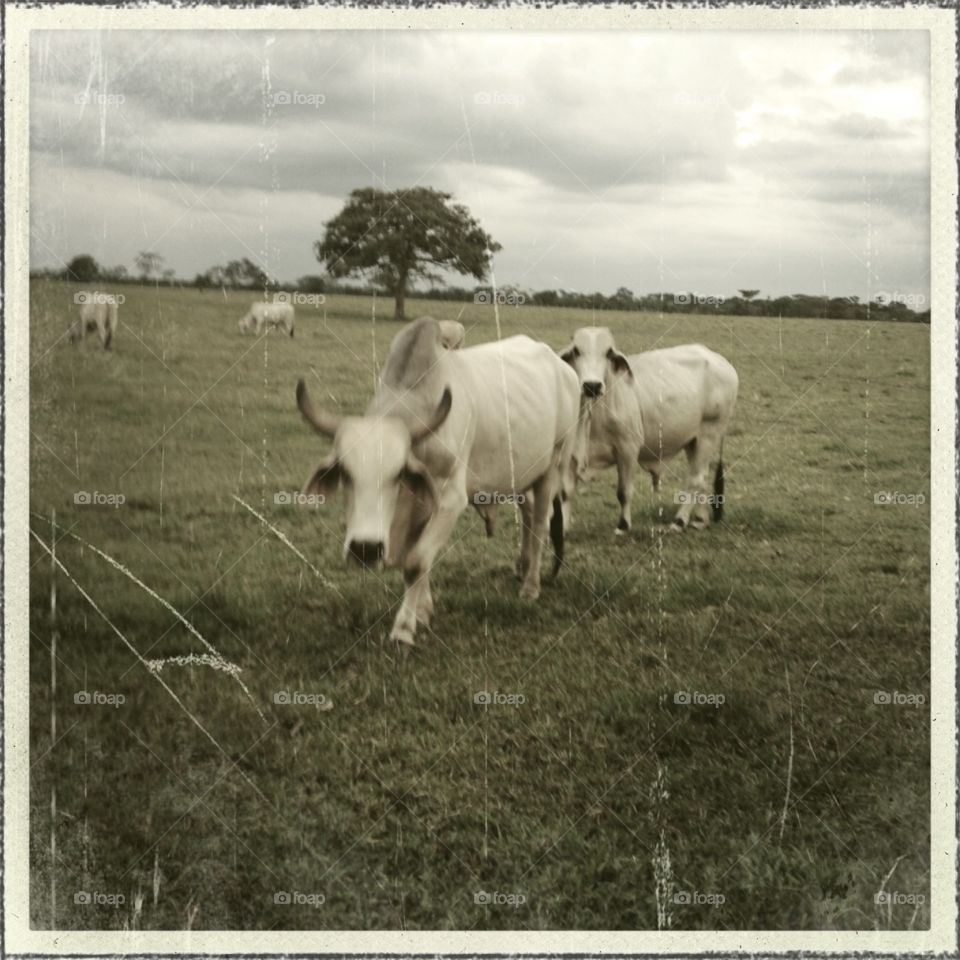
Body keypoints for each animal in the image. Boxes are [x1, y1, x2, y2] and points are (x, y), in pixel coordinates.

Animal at [295, 317, 579, 646]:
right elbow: (418, 561)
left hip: (552, 468)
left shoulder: (450, 500)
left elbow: (416, 561)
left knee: (541, 527)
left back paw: (531, 586)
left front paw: (403, 629)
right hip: (522, 476)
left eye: (398, 473)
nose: (365, 549)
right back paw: (521, 568)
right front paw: (423, 611)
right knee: (530, 517)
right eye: (344, 473)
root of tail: (564, 369)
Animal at [560, 327, 738, 532]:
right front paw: (562, 528)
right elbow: (566, 492)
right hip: (693, 441)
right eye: (576, 351)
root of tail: (721, 362)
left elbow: (624, 491)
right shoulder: (570, 454)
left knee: (696, 479)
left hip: (709, 435)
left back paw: (680, 520)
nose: (592, 386)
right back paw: (700, 519)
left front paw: (623, 525)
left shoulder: (627, 449)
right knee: (702, 477)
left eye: (608, 352)